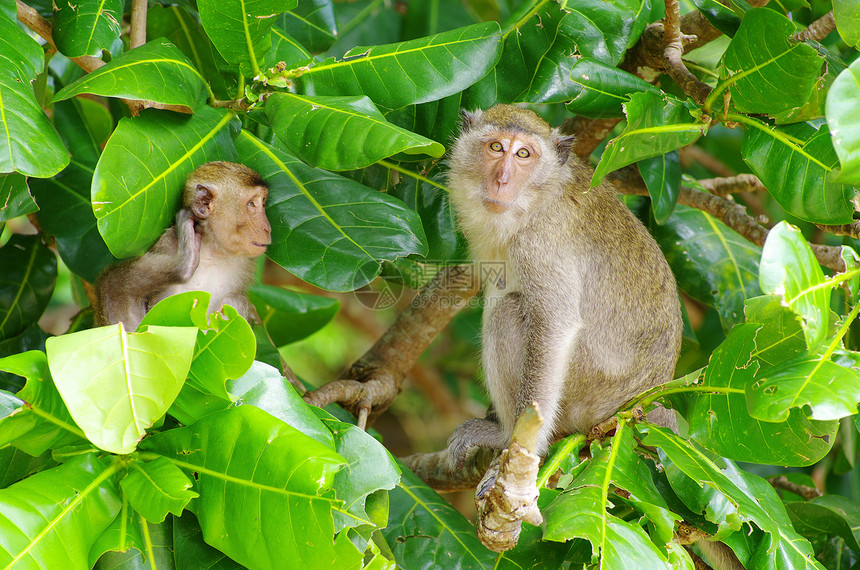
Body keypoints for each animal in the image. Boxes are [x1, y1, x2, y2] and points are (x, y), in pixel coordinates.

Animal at [93, 160, 270, 328]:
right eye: (251, 204)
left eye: (263, 203)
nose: (268, 228)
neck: (213, 252)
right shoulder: (167, 244)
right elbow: (114, 285)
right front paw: (185, 262)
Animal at [446, 104, 680, 464]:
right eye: (496, 147)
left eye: (524, 154)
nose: (502, 180)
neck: (536, 197)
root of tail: (650, 400)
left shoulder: (540, 242)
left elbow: (554, 324)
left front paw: (515, 441)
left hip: (587, 395)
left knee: (507, 311)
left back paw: (503, 433)